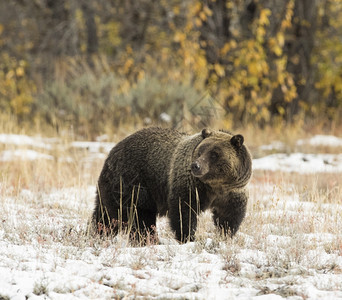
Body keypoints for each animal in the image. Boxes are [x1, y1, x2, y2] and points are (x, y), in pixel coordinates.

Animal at [92, 126, 252, 241]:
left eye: (214, 154)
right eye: (200, 151)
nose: (196, 166)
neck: (215, 185)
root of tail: (112, 152)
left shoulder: (232, 192)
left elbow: (229, 216)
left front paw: (225, 234)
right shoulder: (190, 186)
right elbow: (183, 211)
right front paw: (188, 237)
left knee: (105, 215)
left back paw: (97, 233)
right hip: (133, 182)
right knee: (138, 216)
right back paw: (149, 239)